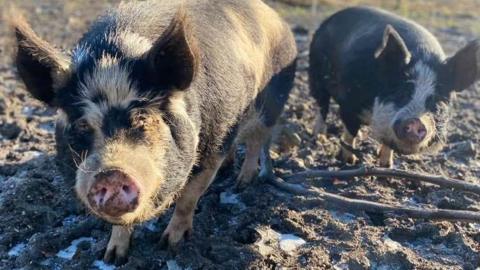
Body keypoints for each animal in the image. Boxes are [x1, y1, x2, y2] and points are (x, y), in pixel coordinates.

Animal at [8, 0, 296, 264]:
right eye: (81, 124)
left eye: (143, 118)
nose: (111, 173)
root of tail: (279, 21)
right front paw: (112, 258)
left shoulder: (214, 144)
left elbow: (188, 198)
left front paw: (168, 245)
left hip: (273, 103)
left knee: (256, 140)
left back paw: (241, 183)